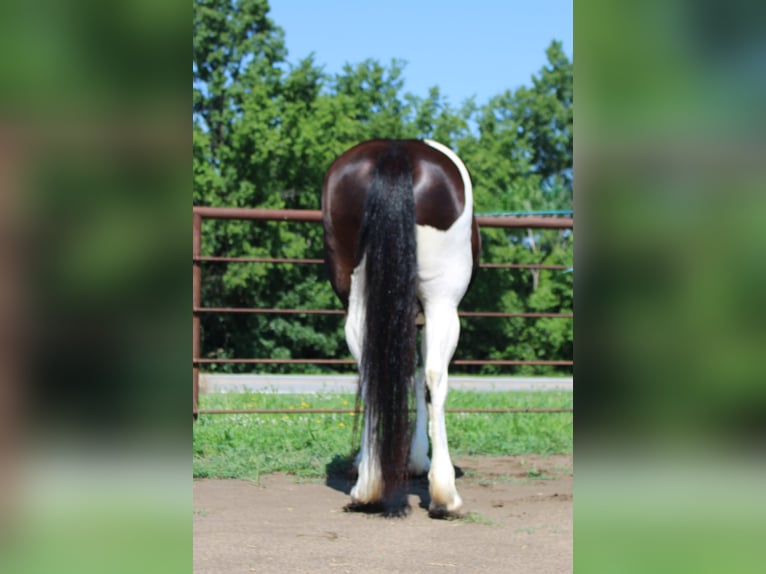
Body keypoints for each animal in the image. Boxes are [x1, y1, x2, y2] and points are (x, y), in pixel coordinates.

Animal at [321, 139, 480, 517]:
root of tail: (396, 150)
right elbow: (422, 376)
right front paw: (420, 460)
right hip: (442, 302)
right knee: (435, 376)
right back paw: (444, 495)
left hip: (358, 297)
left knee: (370, 371)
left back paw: (368, 486)